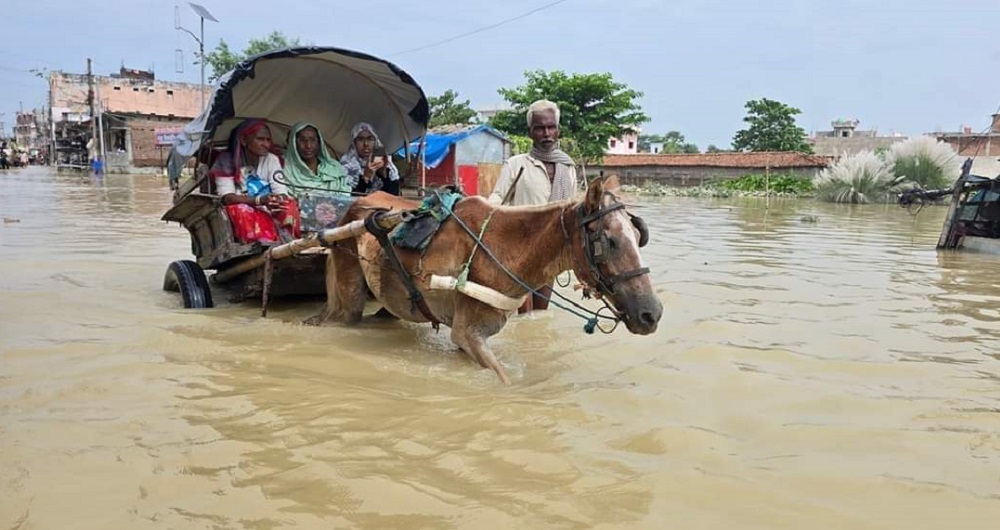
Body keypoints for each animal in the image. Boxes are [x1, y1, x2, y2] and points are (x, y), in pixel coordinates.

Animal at [306, 175, 664, 382]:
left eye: (638, 236)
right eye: (610, 241)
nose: (652, 313)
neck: (502, 248)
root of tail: (354, 206)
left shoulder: (466, 338)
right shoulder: (468, 334)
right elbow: (505, 381)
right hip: (348, 299)